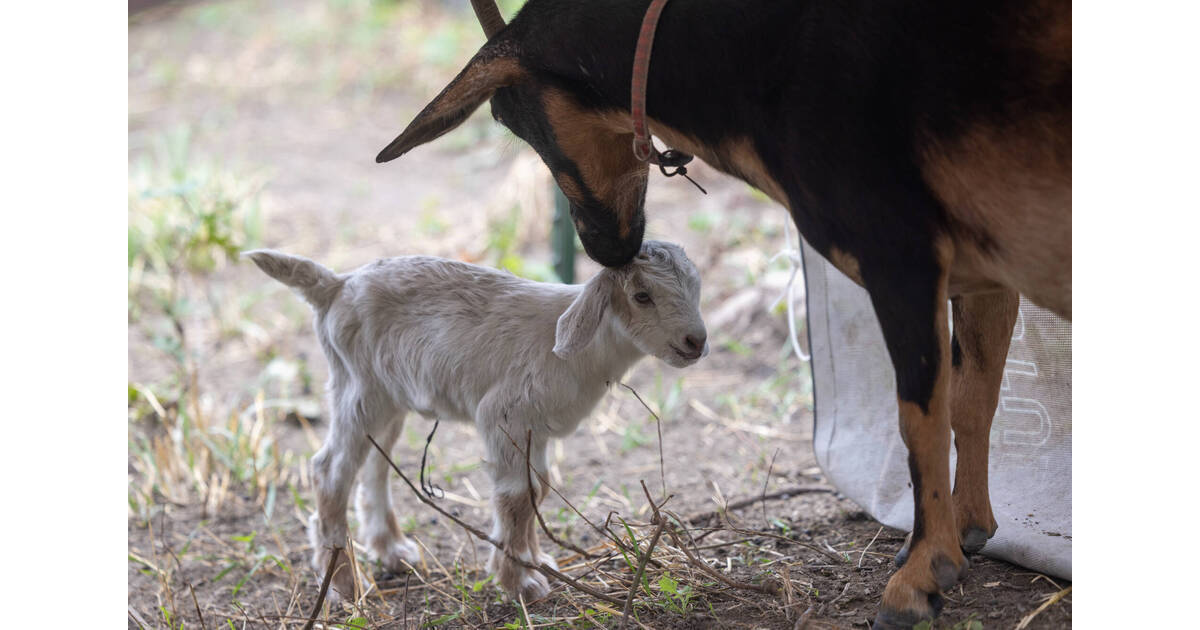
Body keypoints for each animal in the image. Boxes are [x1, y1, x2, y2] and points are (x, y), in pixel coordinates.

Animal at [246, 241, 707, 602]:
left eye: (696, 288)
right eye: (641, 294)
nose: (696, 341)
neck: (585, 352)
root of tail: (334, 285)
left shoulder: (534, 429)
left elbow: (538, 489)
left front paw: (535, 560)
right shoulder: (504, 414)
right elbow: (516, 497)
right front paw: (520, 581)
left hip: (388, 398)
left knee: (375, 465)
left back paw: (392, 551)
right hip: (360, 391)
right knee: (329, 470)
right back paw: (343, 582)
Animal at [373, 1, 1070, 627]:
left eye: (510, 115)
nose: (605, 248)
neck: (762, 52)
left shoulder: (900, 255)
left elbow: (919, 419)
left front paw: (920, 579)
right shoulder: (983, 273)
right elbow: (973, 399)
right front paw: (968, 533)